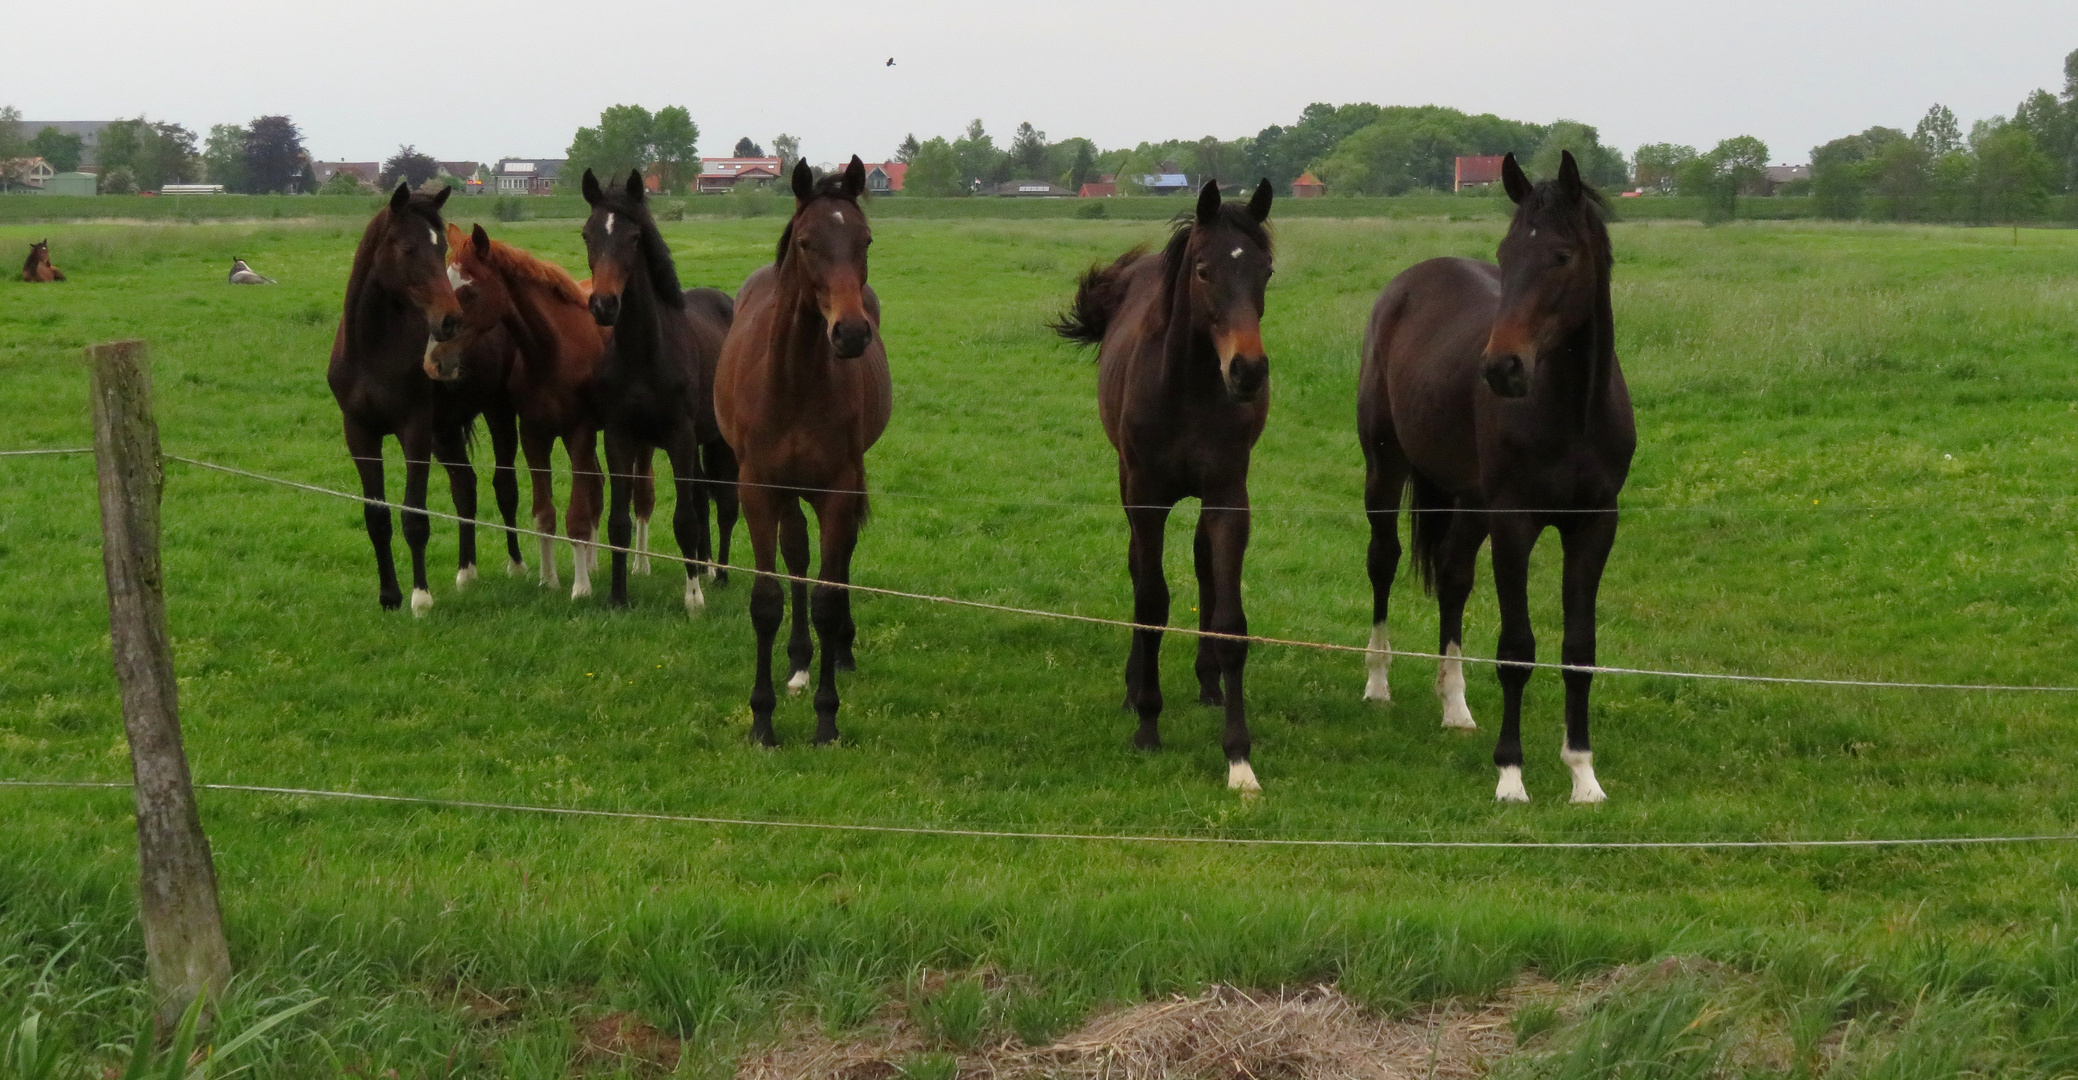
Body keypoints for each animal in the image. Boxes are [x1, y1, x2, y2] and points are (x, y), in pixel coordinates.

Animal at [326, 181, 500, 610]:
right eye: (408, 248)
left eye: (441, 249)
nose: (450, 321)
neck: (372, 351)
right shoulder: (360, 433)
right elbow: (377, 516)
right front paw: (389, 595)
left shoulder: (414, 432)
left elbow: (414, 516)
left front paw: (420, 598)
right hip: (446, 431)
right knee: (464, 486)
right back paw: (466, 573)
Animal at [573, 174, 735, 618]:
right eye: (588, 234)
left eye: (633, 237)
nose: (604, 305)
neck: (645, 353)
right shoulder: (619, 438)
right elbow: (619, 522)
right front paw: (617, 595)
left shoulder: (679, 436)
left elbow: (684, 521)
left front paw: (693, 598)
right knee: (702, 497)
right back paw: (705, 567)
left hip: (718, 441)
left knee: (725, 504)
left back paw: (720, 575)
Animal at [718, 155, 889, 747]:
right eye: (807, 242)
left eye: (865, 239)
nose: (851, 333)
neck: (794, 380)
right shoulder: (758, 488)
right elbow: (768, 599)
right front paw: (763, 719)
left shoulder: (838, 487)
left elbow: (829, 598)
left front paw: (826, 719)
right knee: (796, 558)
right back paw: (796, 662)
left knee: (833, 565)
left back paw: (835, 655)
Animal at [1063, 173, 1271, 789]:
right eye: (1203, 270)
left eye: (1266, 271)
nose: (1247, 371)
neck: (1189, 388)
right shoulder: (1147, 497)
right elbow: (1151, 601)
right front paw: (1148, 725)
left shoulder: (1228, 497)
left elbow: (1230, 621)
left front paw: (1239, 757)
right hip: (1128, 486)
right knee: (1139, 571)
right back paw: (1135, 689)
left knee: (1203, 566)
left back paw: (1207, 683)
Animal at [1354, 149, 1629, 801]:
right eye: (1505, 255)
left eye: (1561, 255)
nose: (1502, 369)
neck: (1572, 412)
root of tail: (1407, 284)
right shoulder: (1514, 522)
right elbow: (1517, 648)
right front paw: (1511, 775)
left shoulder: (1594, 525)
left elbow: (1579, 650)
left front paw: (1584, 775)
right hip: (1386, 470)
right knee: (1383, 560)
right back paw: (1377, 682)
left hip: (1468, 500)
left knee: (1454, 577)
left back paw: (1455, 707)